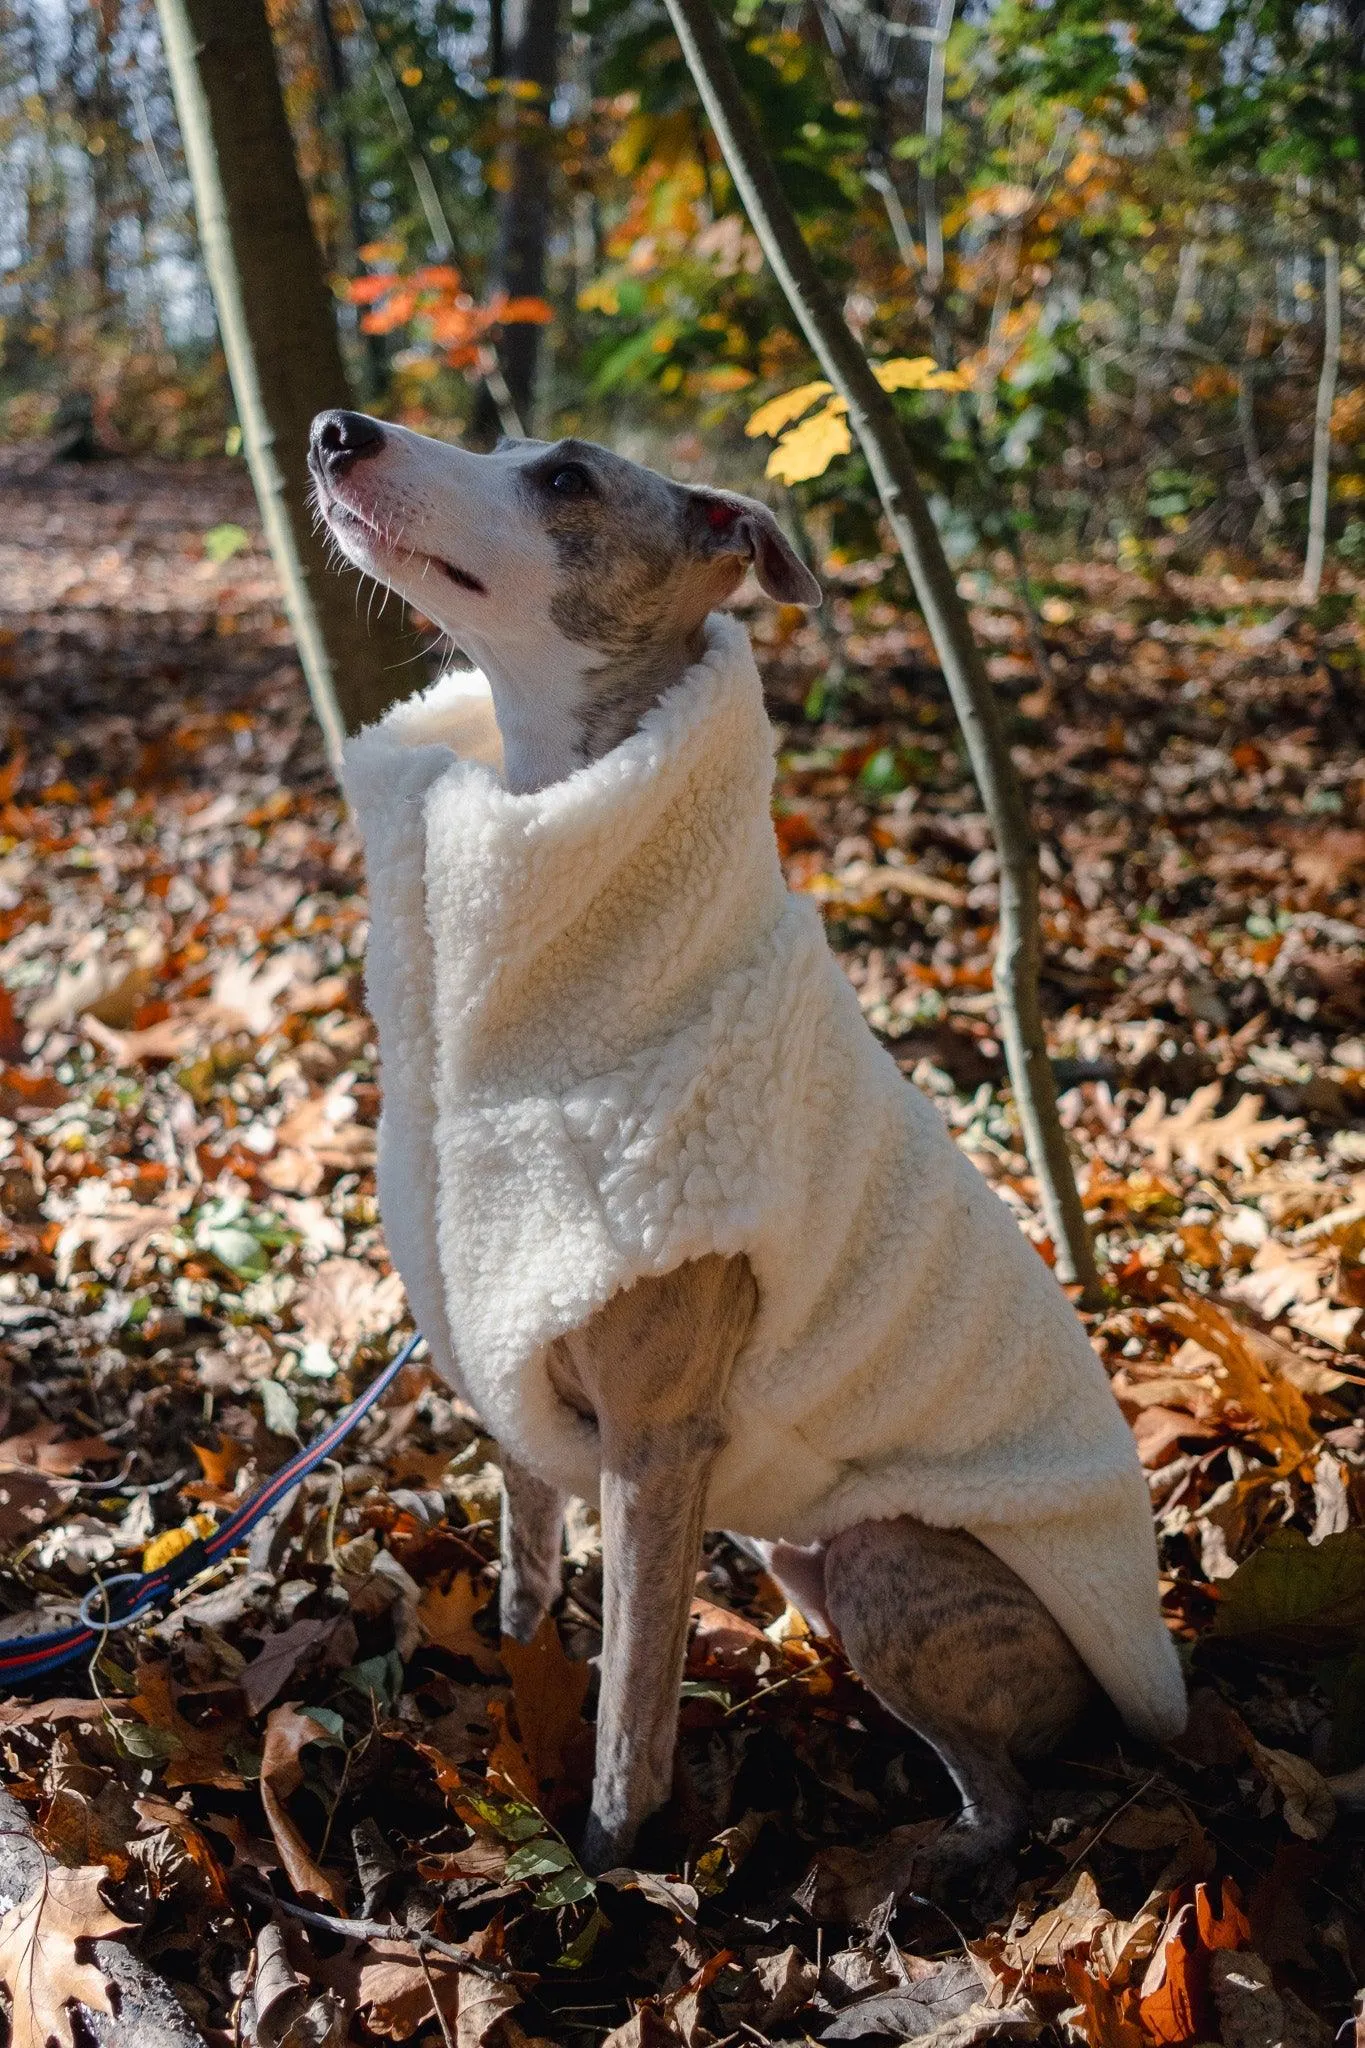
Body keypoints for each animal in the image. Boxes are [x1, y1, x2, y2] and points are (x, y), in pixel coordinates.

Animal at [309, 411, 1186, 1900]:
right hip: (803, 1554)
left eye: (566, 477)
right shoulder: (512, 1336)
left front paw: (604, 1872)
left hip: (892, 1562)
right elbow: (529, 1586)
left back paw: (910, 1862)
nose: (334, 432)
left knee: (1013, 1790)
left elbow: (631, 1712)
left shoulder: (657, 1446)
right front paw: (516, 1699)